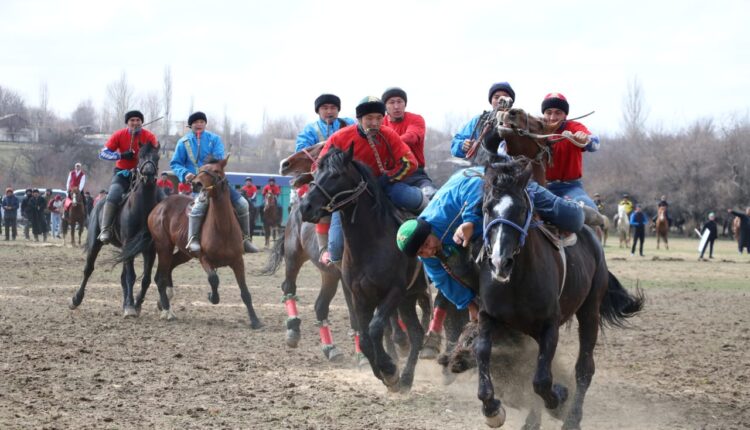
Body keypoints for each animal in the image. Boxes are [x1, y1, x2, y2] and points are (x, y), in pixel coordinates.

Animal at [68, 143, 162, 318]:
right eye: (140, 156)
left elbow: (145, 279)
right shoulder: (128, 245)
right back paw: (76, 299)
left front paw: (136, 303)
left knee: (123, 277)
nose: (148, 175)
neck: (142, 206)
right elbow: (131, 276)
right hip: (95, 243)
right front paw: (131, 307)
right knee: (88, 269)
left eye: (157, 157)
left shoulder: (149, 249)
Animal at [131, 158, 264, 330]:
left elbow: (245, 292)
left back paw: (160, 302)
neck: (223, 227)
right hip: (164, 247)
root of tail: (159, 207)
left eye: (216, 171)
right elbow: (214, 279)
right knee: (160, 278)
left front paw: (255, 320)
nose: (196, 183)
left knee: (168, 269)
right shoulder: (204, 258)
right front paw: (212, 296)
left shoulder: (237, 261)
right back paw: (167, 311)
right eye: (200, 170)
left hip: (184, 253)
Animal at [300, 147, 428, 394]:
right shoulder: (360, 296)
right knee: (416, 334)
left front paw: (389, 369)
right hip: (408, 299)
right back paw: (407, 379)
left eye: (336, 175)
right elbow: (366, 336)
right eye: (316, 172)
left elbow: (375, 327)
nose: (305, 207)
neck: (372, 243)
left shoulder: (394, 291)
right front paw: (385, 372)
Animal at [476, 157, 648, 426]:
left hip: (590, 312)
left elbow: (542, 380)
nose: (499, 262)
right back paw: (532, 422)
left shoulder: (550, 325)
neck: (516, 282)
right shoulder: (488, 316)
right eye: (487, 209)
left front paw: (559, 397)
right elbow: (484, 354)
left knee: (584, 369)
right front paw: (492, 409)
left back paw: (572, 419)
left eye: (521, 210)